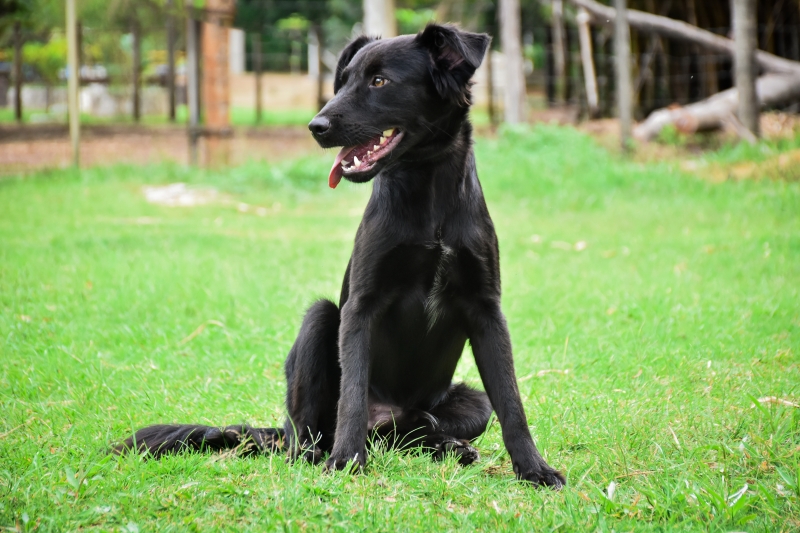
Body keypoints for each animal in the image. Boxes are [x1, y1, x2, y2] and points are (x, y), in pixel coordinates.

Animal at [117, 22, 564, 488]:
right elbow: (351, 395)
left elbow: (511, 402)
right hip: (320, 324)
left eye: (379, 81)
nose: (315, 126)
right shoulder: (360, 307)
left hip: (470, 404)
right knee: (308, 433)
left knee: (415, 431)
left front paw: (533, 467)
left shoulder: (486, 310)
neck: (429, 196)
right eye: (344, 80)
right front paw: (347, 460)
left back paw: (448, 445)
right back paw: (322, 452)